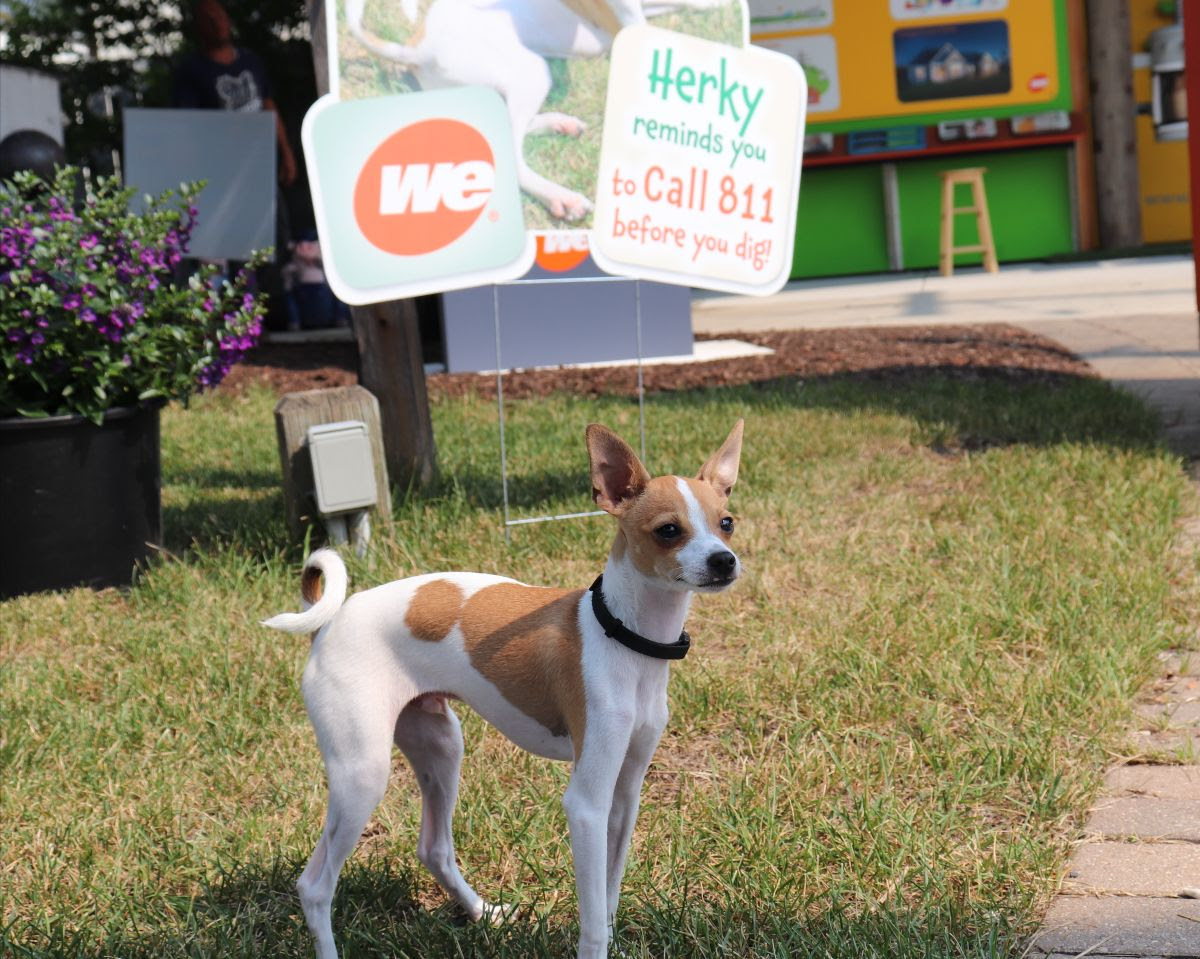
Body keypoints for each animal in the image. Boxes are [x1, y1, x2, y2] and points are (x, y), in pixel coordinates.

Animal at [263, 420, 743, 959]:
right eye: (668, 530)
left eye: (726, 522)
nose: (724, 561)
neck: (623, 635)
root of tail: (329, 622)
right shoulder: (587, 804)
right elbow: (593, 919)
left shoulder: (624, 795)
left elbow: (609, 896)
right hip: (362, 772)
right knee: (315, 886)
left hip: (440, 744)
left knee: (433, 848)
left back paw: (482, 913)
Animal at [341, 0, 737, 221]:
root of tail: (416, 48)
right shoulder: (629, 22)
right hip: (531, 72)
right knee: (511, 154)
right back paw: (561, 197)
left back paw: (560, 124)